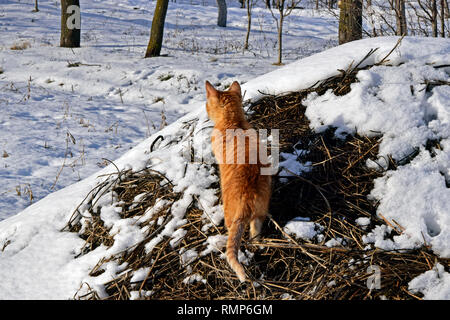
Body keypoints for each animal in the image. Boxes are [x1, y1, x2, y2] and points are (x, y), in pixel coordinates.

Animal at [205, 80, 270, 282]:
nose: (205, 111)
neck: (233, 121)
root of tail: (247, 197)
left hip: (230, 217)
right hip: (259, 214)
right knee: (255, 233)